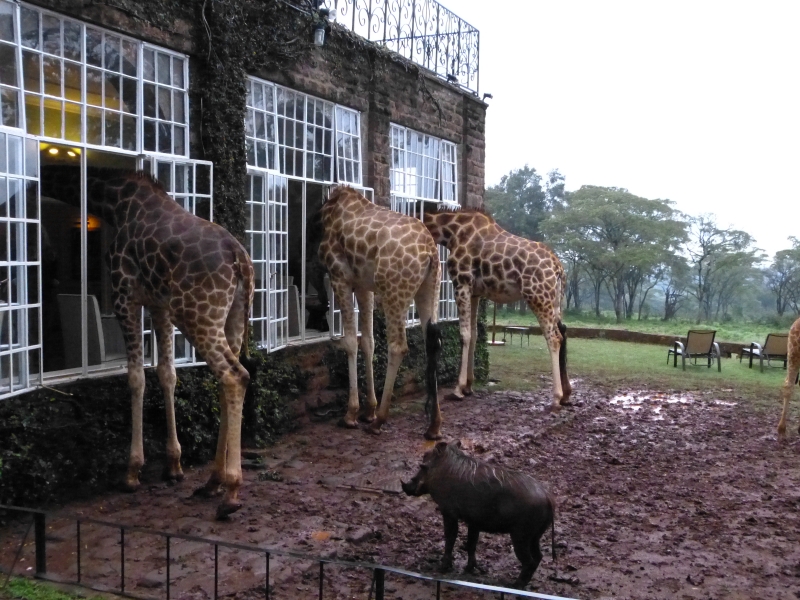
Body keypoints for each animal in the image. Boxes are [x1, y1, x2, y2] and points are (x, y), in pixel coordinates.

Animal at [88, 171, 254, 520]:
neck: (114, 201)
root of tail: (240, 260)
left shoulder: (125, 296)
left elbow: (136, 377)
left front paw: (132, 471)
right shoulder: (159, 305)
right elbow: (166, 373)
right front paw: (174, 465)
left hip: (195, 315)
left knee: (235, 376)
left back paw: (230, 492)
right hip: (230, 317)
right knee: (228, 380)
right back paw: (212, 481)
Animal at [318, 186, 444, 438]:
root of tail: (431, 253)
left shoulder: (340, 277)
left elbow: (350, 342)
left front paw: (351, 414)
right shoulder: (363, 285)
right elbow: (368, 341)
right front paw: (368, 410)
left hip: (394, 290)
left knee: (398, 346)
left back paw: (380, 421)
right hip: (429, 288)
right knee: (432, 344)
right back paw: (434, 426)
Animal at [422, 207, 571, 409]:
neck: (451, 232)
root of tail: (558, 268)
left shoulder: (461, 283)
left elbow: (464, 335)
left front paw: (458, 389)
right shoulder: (475, 292)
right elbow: (475, 334)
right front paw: (468, 386)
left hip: (538, 297)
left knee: (554, 338)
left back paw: (556, 397)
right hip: (555, 301)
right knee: (562, 333)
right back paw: (566, 395)